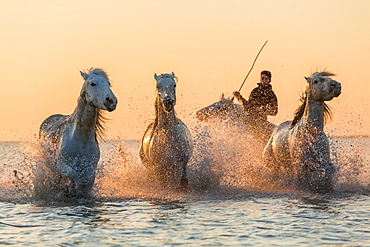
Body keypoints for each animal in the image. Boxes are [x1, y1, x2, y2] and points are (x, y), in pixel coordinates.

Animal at [38, 68, 117, 197]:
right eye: (93, 83)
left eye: (108, 83)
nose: (112, 101)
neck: (81, 139)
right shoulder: (61, 165)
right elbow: (74, 175)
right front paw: (70, 189)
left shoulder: (90, 170)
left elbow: (86, 182)